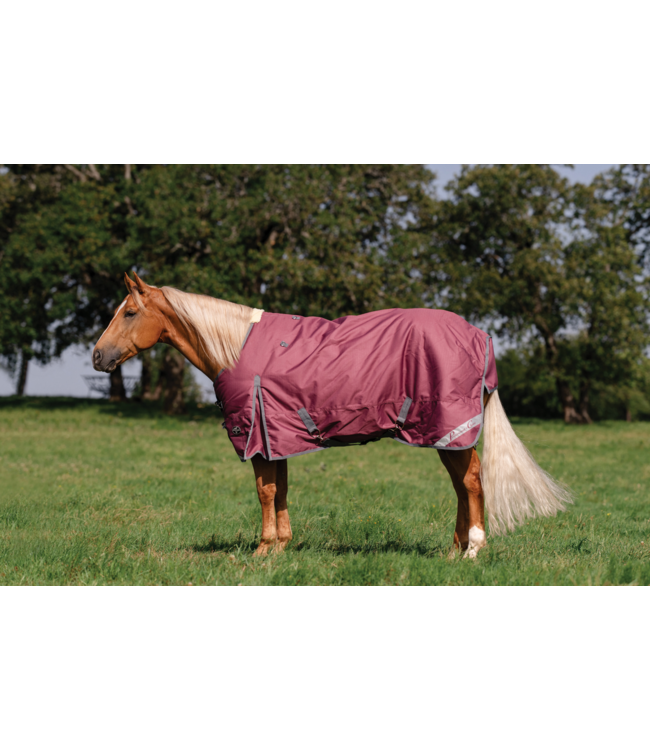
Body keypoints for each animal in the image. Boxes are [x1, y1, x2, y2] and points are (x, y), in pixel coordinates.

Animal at [93, 272, 571, 558]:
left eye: (130, 312)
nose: (98, 357)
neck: (235, 346)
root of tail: (478, 335)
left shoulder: (257, 434)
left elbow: (265, 491)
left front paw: (262, 550)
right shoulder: (277, 436)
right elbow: (280, 489)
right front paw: (281, 547)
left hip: (450, 427)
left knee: (471, 482)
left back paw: (473, 549)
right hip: (441, 433)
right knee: (461, 485)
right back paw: (454, 551)